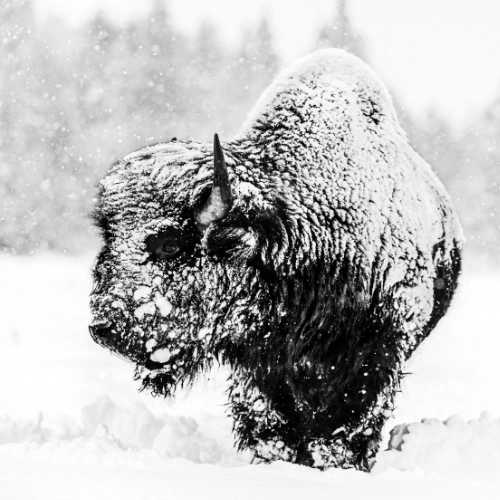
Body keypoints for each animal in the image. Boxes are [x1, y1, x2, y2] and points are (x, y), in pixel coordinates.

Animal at [88, 48, 462, 470]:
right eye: (109, 237)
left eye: (169, 244)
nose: (103, 328)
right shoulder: (259, 364)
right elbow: (272, 425)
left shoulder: (377, 352)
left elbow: (347, 427)